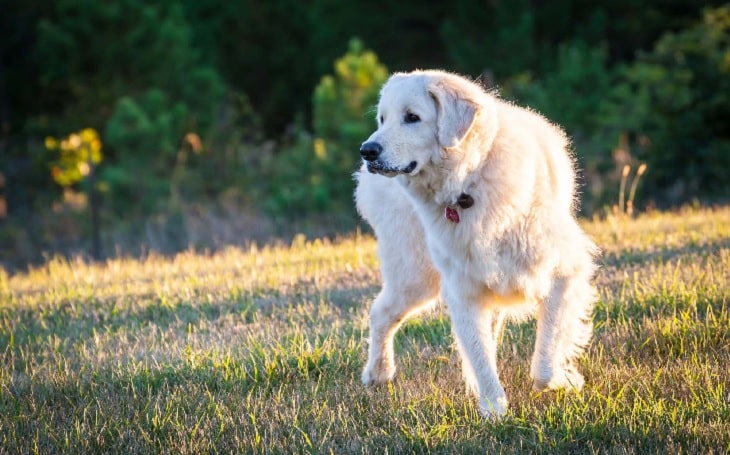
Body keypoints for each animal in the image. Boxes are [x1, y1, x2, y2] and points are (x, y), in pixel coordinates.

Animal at [354, 70, 596, 420]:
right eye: (383, 118)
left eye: (412, 117)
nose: (367, 150)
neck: (468, 185)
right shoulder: (463, 290)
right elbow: (481, 354)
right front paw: (495, 409)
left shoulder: (564, 273)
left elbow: (545, 361)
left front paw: (564, 378)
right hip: (416, 277)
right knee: (381, 312)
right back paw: (379, 372)